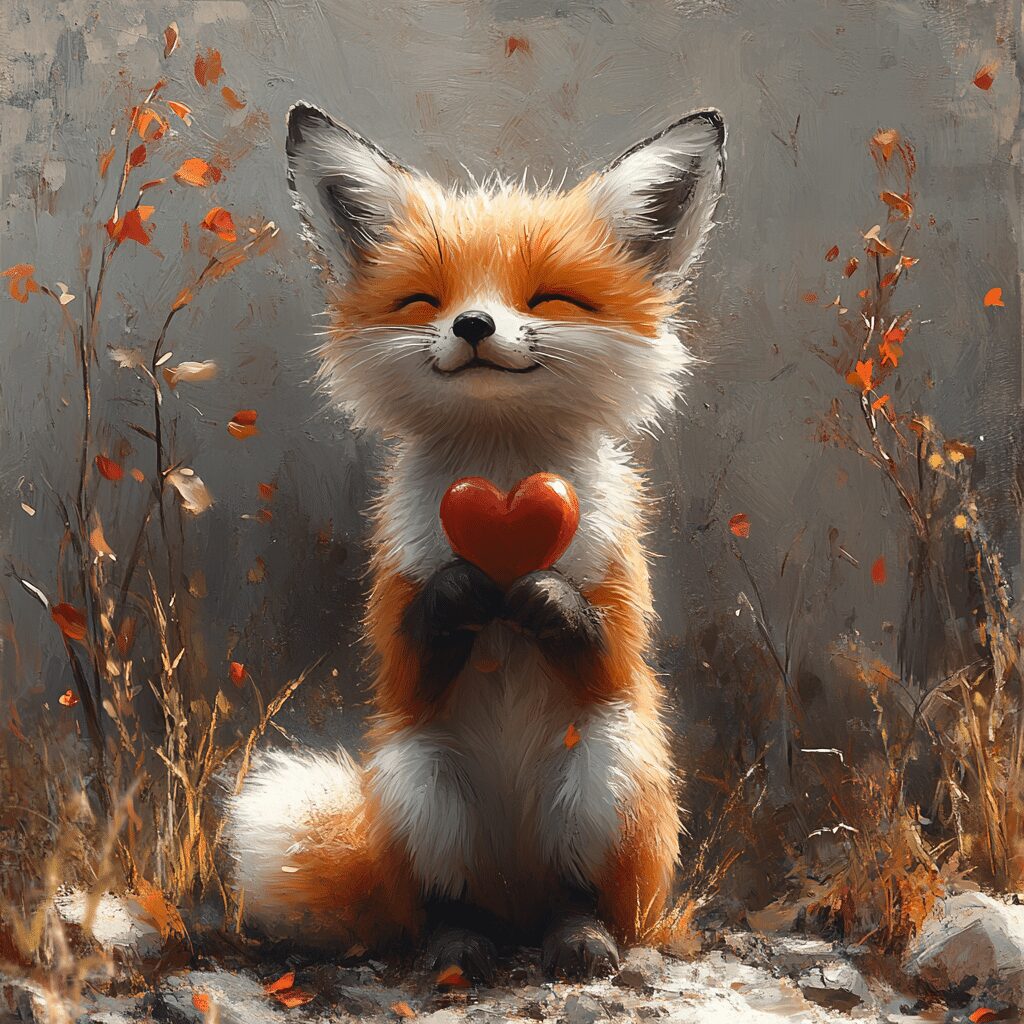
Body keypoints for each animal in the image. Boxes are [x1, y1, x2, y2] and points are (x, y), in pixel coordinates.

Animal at [226, 101, 726, 980]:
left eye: (552, 298)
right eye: (424, 299)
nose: (472, 323)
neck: (500, 475)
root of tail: (516, 901)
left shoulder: (620, 606)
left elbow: (606, 646)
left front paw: (539, 595)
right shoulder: (401, 624)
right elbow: (413, 644)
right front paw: (467, 589)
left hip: (608, 769)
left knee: (580, 897)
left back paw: (581, 938)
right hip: (417, 779)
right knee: (442, 904)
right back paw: (458, 947)